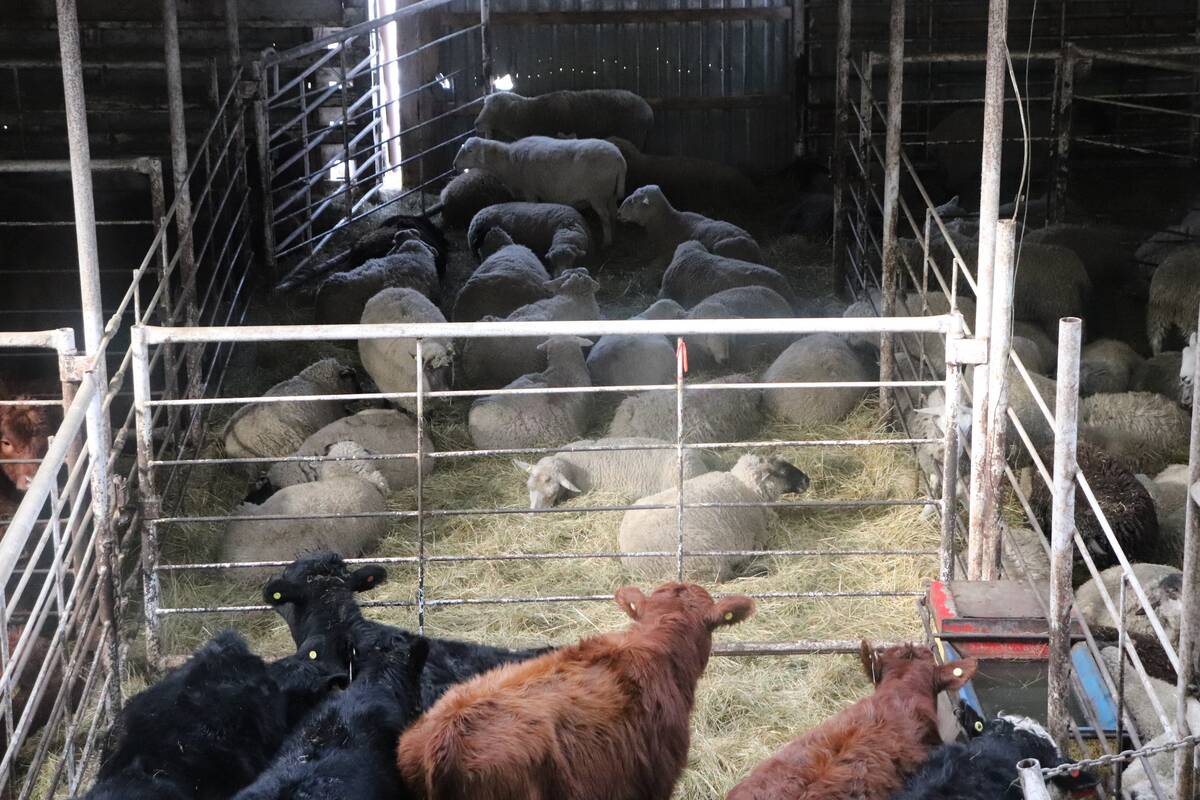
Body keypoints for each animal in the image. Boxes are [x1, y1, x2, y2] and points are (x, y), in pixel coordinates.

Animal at [453, 136, 626, 245]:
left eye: (470, 151)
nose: (454, 164)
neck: (507, 161)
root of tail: (619, 158)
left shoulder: (529, 191)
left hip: (597, 194)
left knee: (604, 217)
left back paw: (607, 242)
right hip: (610, 193)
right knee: (613, 212)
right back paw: (616, 234)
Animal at [617, 185, 764, 263]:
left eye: (633, 201)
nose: (618, 213)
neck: (668, 221)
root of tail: (755, 250)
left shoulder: (666, 254)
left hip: (723, 246)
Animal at [618, 454, 809, 581]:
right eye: (783, 471)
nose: (807, 480)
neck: (747, 487)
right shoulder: (757, 537)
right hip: (705, 557)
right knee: (727, 576)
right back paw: (759, 571)